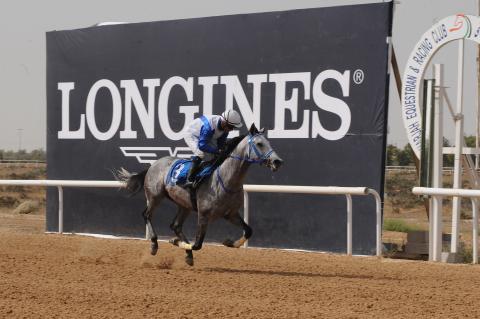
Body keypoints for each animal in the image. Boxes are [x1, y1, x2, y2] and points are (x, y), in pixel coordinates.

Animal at [118, 124, 284, 266]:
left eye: (268, 142)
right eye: (259, 144)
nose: (277, 161)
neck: (225, 180)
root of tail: (153, 164)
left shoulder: (230, 214)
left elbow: (249, 230)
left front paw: (229, 242)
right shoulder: (204, 214)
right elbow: (197, 244)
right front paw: (174, 242)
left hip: (184, 205)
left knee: (176, 225)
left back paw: (188, 255)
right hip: (155, 196)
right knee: (147, 215)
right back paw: (154, 244)